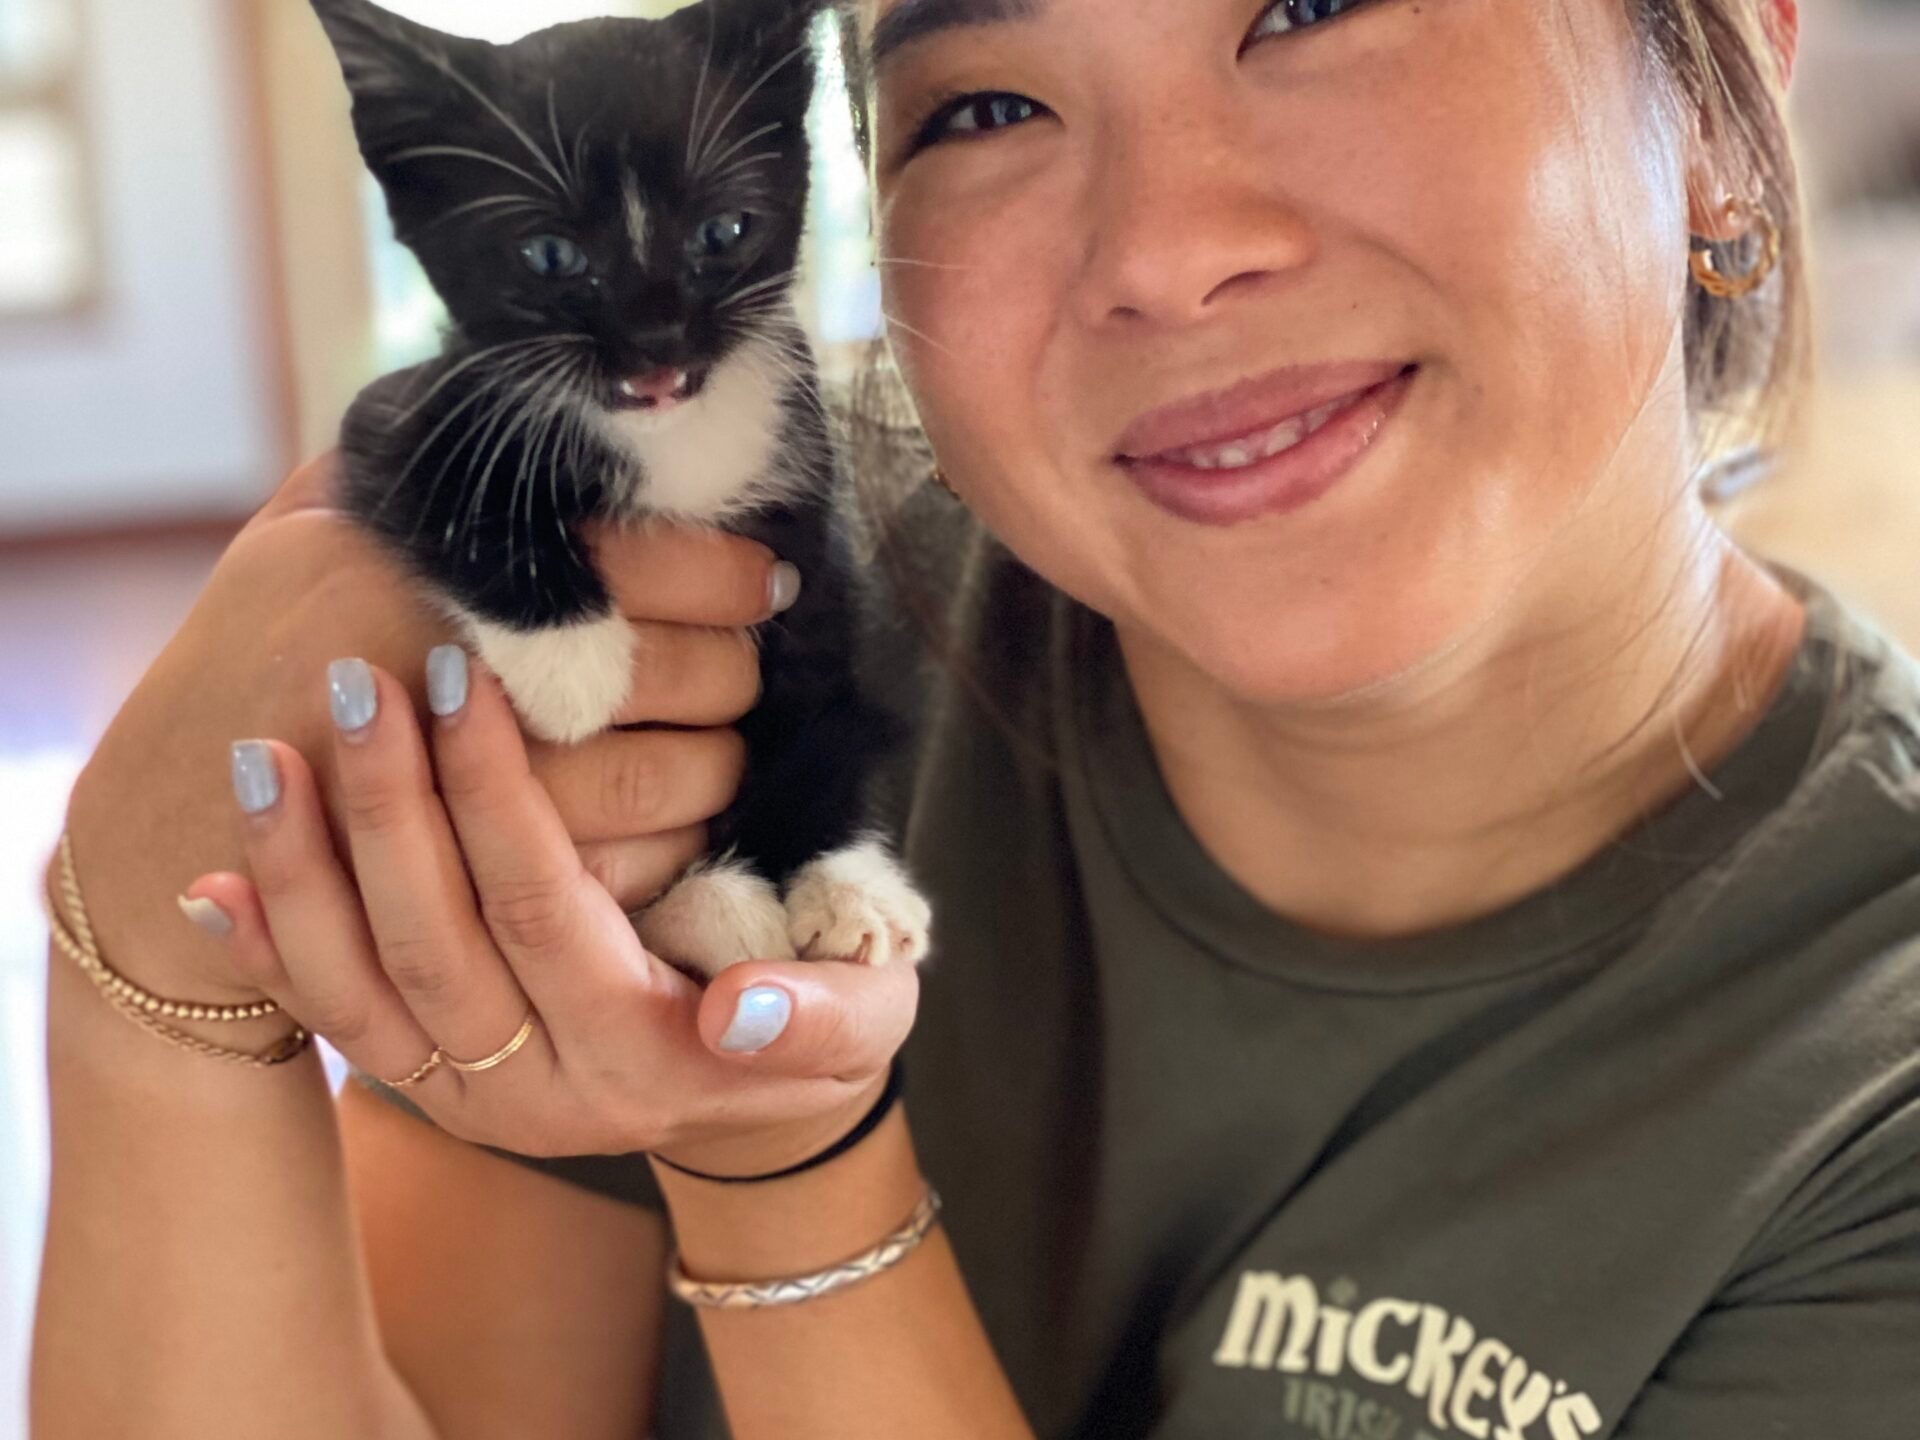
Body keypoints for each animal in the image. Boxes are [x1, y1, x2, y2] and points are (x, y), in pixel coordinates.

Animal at [307, 0, 929, 983]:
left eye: (723, 232)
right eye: (551, 254)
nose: (657, 343)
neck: (672, 434)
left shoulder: (809, 528)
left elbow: (822, 695)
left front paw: (843, 875)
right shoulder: (396, 416)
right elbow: (451, 489)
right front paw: (574, 664)